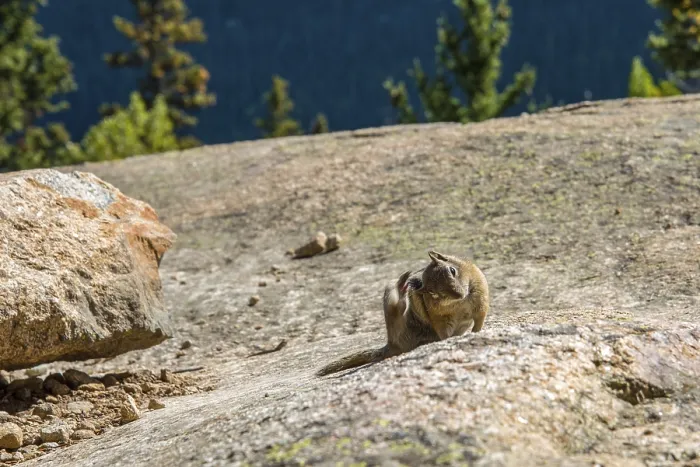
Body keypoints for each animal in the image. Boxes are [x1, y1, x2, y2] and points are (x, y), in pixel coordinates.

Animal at [315, 250, 489, 376]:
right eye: (434, 293)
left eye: (452, 270)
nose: (459, 294)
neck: (460, 303)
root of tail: (392, 344)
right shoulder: (440, 319)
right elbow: (444, 333)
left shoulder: (481, 303)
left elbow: (479, 320)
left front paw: (476, 332)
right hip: (394, 313)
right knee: (396, 312)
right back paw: (402, 289)